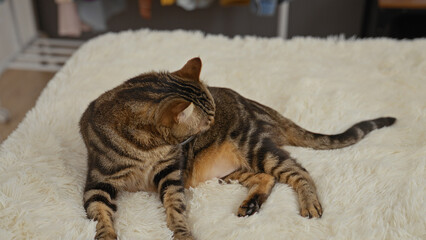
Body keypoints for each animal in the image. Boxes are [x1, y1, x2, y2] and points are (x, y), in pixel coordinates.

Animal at [79, 57, 396, 239]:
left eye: (211, 121)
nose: (211, 125)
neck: (148, 150)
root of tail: (259, 105)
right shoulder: (98, 181)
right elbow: (99, 214)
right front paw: (106, 235)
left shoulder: (170, 176)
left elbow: (176, 208)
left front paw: (182, 232)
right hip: (228, 169)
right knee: (266, 178)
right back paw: (251, 203)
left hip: (254, 147)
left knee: (299, 171)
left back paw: (309, 204)